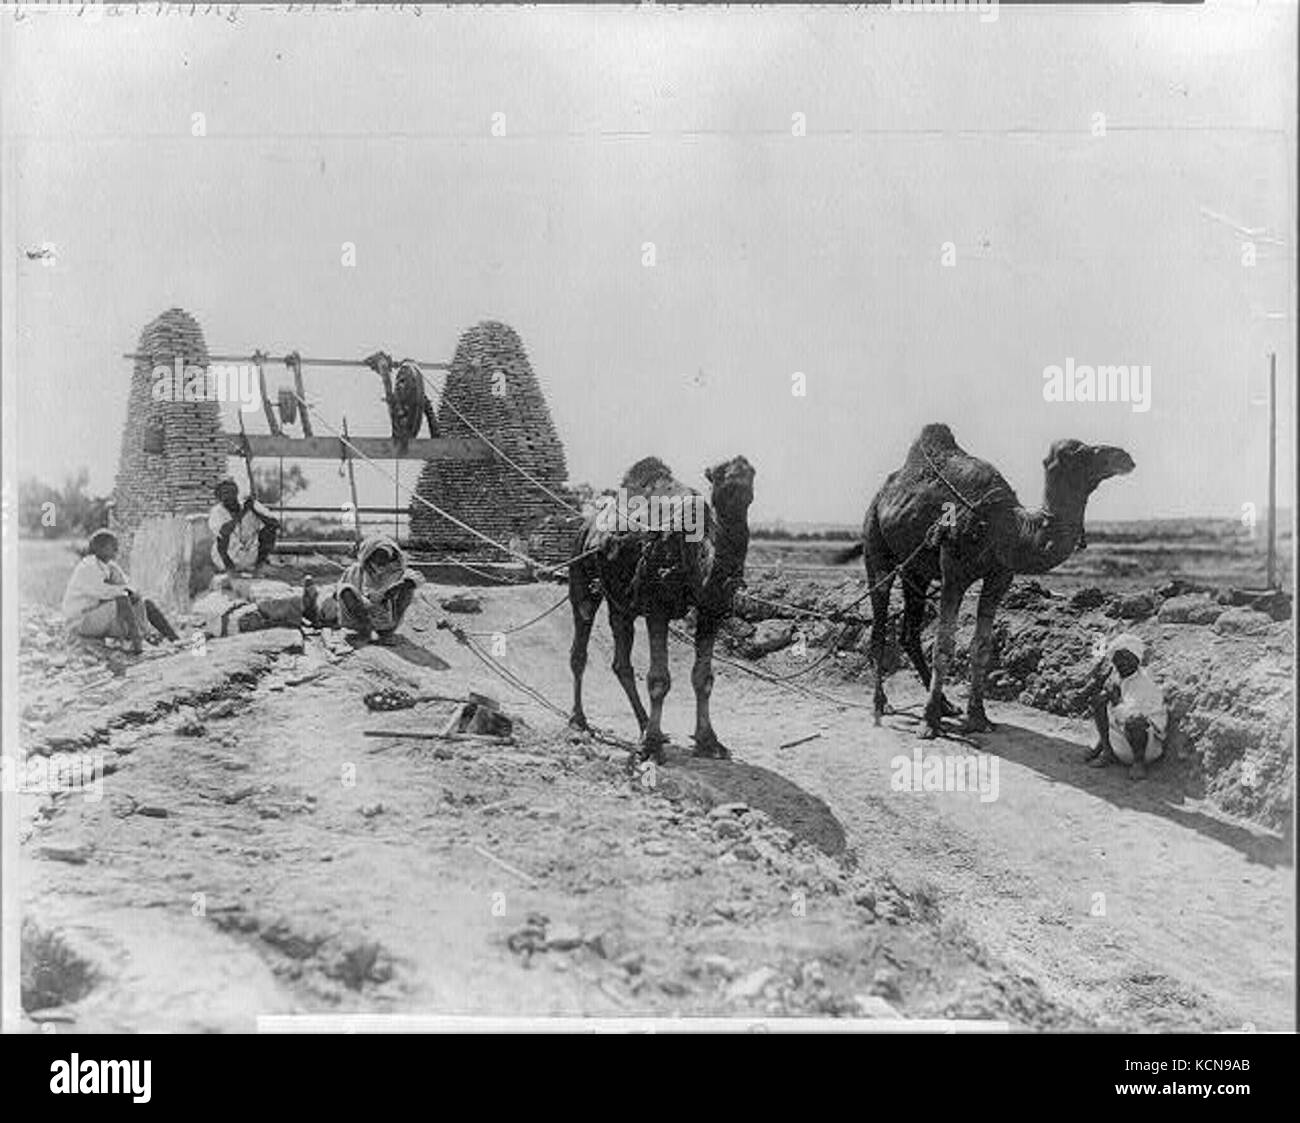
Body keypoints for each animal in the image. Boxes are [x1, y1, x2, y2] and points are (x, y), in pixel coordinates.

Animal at [564, 457, 759, 764]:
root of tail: (588, 525)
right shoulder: (657, 608)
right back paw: (579, 721)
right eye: (718, 474)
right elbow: (659, 680)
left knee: (621, 661)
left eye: (750, 472)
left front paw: (710, 742)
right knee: (579, 646)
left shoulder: (710, 611)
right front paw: (650, 747)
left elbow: (703, 679)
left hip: (621, 602)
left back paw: (644, 724)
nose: (737, 480)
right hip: (580, 575)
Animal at [837, 421, 1133, 738]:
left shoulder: (999, 577)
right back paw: (881, 705)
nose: (1125, 457)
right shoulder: (953, 573)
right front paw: (929, 722)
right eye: (1079, 452)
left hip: (915, 570)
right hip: (874, 544)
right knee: (879, 627)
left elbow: (981, 647)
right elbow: (944, 646)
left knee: (909, 632)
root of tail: (881, 495)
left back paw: (946, 705)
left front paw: (978, 717)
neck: (1003, 526)